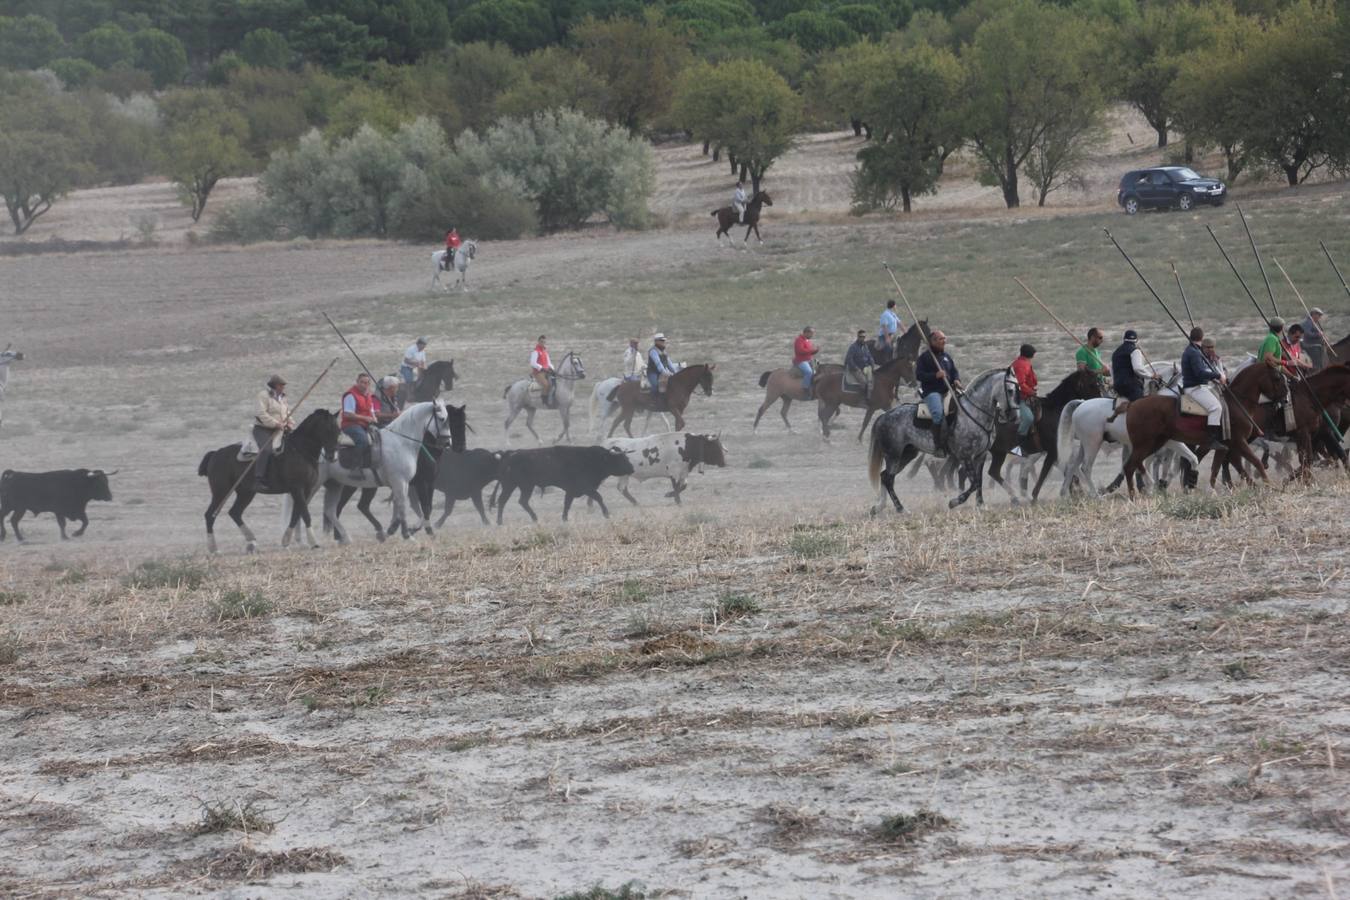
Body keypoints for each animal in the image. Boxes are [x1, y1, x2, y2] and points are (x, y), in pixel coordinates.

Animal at [197, 410, 342, 553]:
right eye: (327, 430)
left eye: (338, 431)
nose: (332, 456)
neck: (300, 451)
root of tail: (216, 454)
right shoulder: (297, 489)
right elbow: (305, 514)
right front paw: (314, 543)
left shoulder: (305, 490)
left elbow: (297, 514)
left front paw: (286, 541)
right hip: (221, 492)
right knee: (210, 515)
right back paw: (213, 548)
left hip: (246, 493)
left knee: (235, 512)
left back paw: (251, 542)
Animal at [318, 399, 467, 542]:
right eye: (442, 419)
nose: (449, 444)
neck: (402, 443)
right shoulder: (411, 482)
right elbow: (414, 506)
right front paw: (412, 532)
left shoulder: (417, 483)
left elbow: (410, 507)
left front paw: (398, 530)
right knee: (343, 507)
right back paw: (342, 536)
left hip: (344, 485)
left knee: (349, 507)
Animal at [869, 367, 1009, 512]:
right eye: (1010, 389)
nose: (1007, 414)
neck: (973, 412)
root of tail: (883, 416)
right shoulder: (966, 456)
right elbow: (974, 482)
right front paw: (954, 502)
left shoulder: (981, 455)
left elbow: (979, 481)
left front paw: (980, 504)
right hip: (893, 456)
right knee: (888, 479)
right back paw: (900, 508)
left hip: (906, 454)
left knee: (884, 476)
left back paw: (879, 507)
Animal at [1117, 356, 1285, 496]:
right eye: (1277, 377)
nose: (1285, 399)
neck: (1236, 403)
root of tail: (1132, 405)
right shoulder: (1238, 441)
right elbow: (1255, 462)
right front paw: (1269, 485)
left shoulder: (1225, 446)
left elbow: (1218, 467)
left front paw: (1213, 490)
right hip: (1145, 445)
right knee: (1130, 467)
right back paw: (1135, 495)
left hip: (1155, 444)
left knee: (1137, 465)